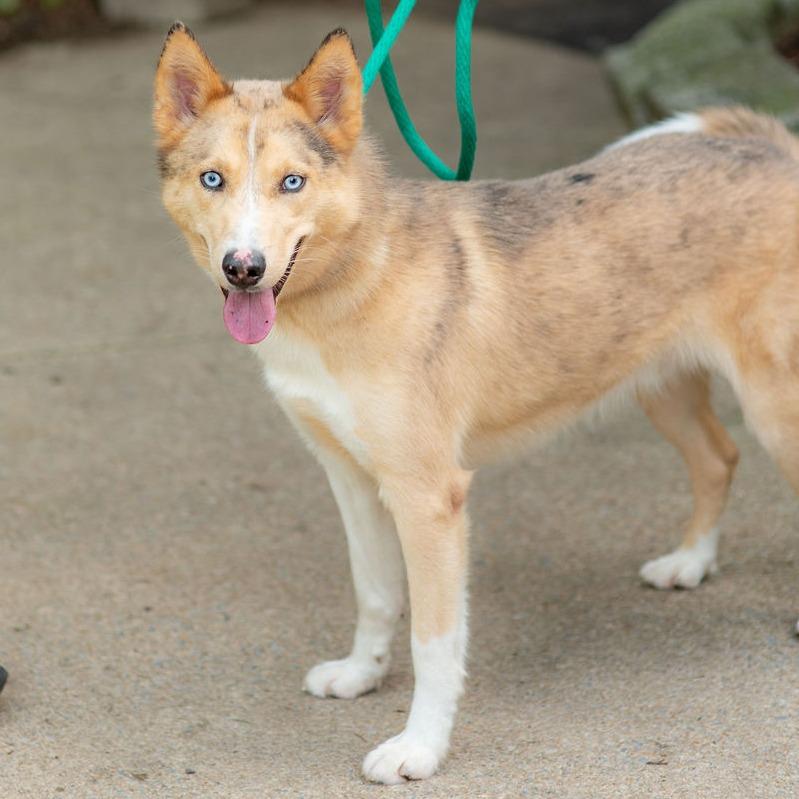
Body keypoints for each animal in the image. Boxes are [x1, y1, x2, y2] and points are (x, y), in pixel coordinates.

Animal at [155, 22, 799, 784]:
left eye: (292, 181)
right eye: (212, 179)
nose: (243, 268)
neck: (353, 281)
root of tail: (772, 146)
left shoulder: (430, 498)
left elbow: (435, 642)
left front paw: (420, 747)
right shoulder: (351, 479)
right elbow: (375, 592)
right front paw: (363, 672)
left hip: (773, 406)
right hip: (655, 383)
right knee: (717, 456)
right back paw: (691, 561)